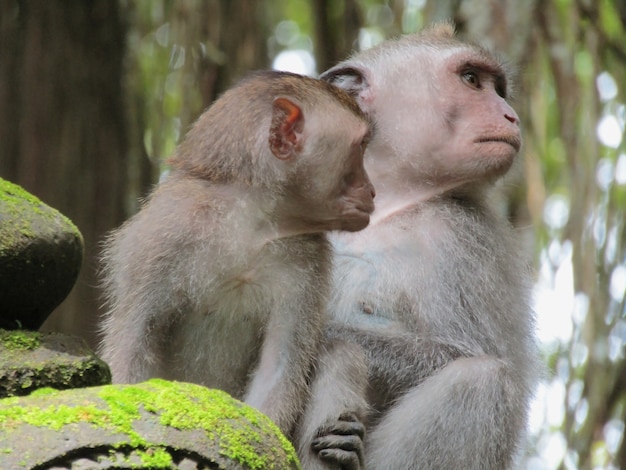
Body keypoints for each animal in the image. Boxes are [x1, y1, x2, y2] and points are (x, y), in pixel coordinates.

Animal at [97, 70, 370, 436]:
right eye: (361, 147)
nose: (372, 190)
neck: (249, 223)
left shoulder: (309, 261)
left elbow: (279, 366)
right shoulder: (161, 238)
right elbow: (133, 344)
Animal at [294, 23, 540, 470]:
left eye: (498, 89)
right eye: (472, 80)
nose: (511, 116)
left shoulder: (462, 237)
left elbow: (458, 353)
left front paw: (322, 330)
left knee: (483, 381)